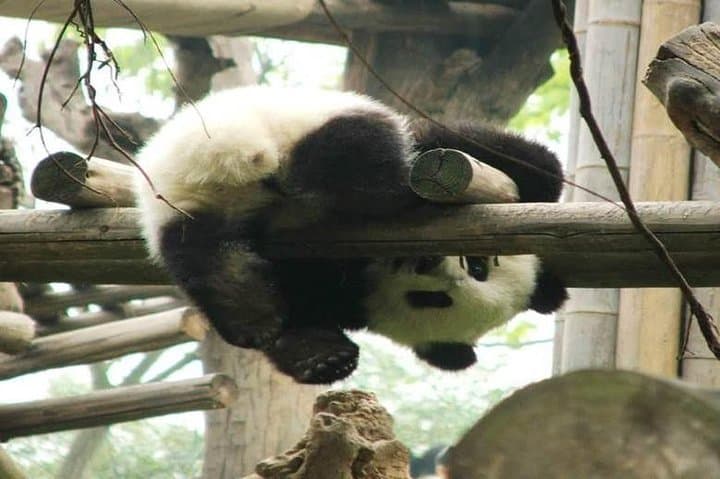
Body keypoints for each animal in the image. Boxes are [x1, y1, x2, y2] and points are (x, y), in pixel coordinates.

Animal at [134, 86, 567, 384]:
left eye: (435, 300)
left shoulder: (341, 292)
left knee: (203, 255)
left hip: (186, 213)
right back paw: (395, 191)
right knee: (362, 159)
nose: (428, 262)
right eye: (478, 265)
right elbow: (511, 157)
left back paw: (246, 311)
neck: (371, 268)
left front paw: (319, 357)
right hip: (309, 120)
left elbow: (302, 304)